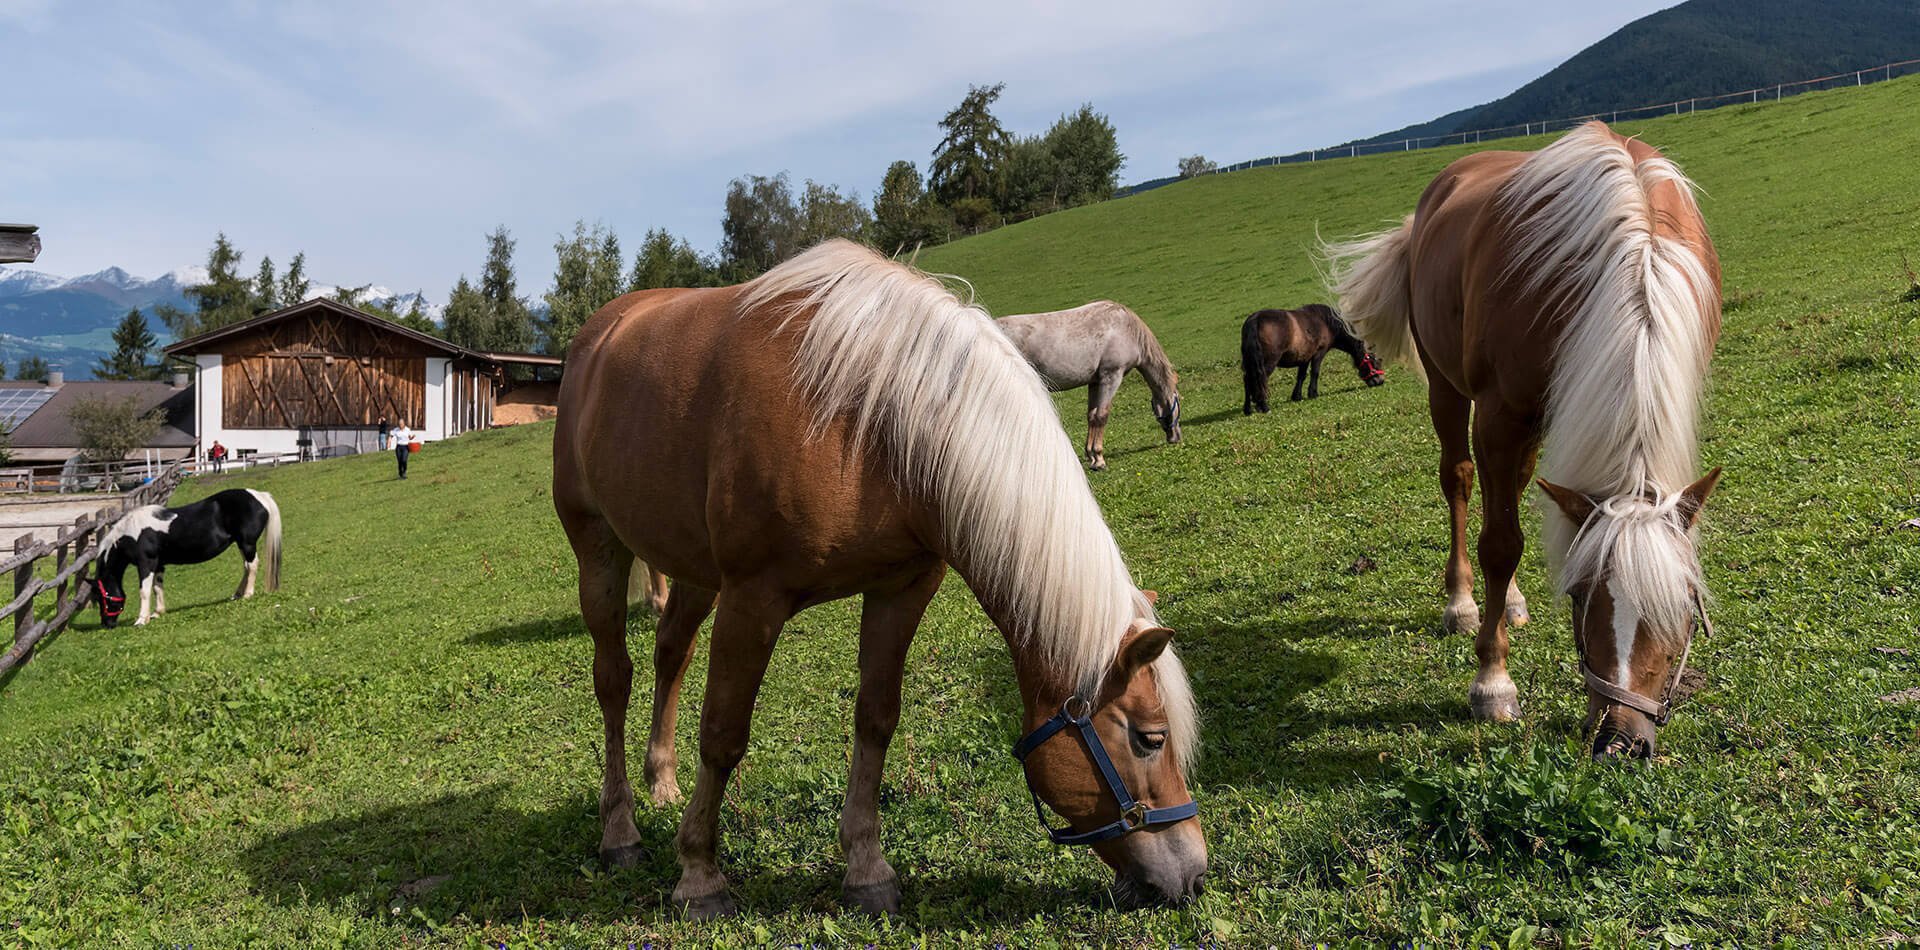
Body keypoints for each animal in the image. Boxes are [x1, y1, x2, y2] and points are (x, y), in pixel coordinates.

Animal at [94, 487, 282, 629]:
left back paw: (248, 594)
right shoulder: (159, 564)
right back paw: (236, 594)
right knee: (246, 566)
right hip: (241, 544)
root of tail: (259, 496)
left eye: (102, 597)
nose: (107, 624)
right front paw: (158, 612)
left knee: (252, 565)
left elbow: (144, 591)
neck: (132, 532)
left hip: (247, 543)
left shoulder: (146, 564)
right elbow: (157, 588)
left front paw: (142, 620)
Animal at [998, 301, 1175, 472]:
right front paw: (1099, 459)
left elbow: (1092, 416)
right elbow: (1102, 415)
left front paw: (1091, 455)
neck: (1126, 328)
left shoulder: (1095, 382)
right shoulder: (1111, 377)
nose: (1175, 437)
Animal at [1236, 303, 1390, 410]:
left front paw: (1297, 396)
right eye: (1375, 360)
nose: (1380, 381)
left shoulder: (1304, 357)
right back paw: (1263, 406)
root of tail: (1255, 320)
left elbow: (1301, 376)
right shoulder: (1318, 353)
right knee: (1260, 378)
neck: (1326, 323)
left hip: (1250, 362)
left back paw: (1248, 409)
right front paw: (1313, 393)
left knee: (1247, 379)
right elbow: (1315, 372)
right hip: (1267, 362)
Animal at [1336, 122, 1728, 763]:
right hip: (1448, 390)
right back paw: (1463, 603)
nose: (1621, 741)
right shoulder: (1498, 416)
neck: (1633, 254)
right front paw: (1492, 682)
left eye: (1684, 611)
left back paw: (1512, 603)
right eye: (1581, 597)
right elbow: (1500, 543)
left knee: (1515, 489)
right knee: (1460, 480)